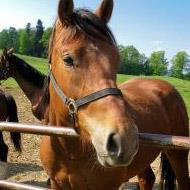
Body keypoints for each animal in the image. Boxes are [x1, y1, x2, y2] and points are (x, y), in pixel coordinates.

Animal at [0, 0, 189, 189]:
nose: (123, 140)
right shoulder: (56, 183)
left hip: (178, 156)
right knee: (147, 178)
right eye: (68, 60)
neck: (69, 150)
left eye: (117, 59)